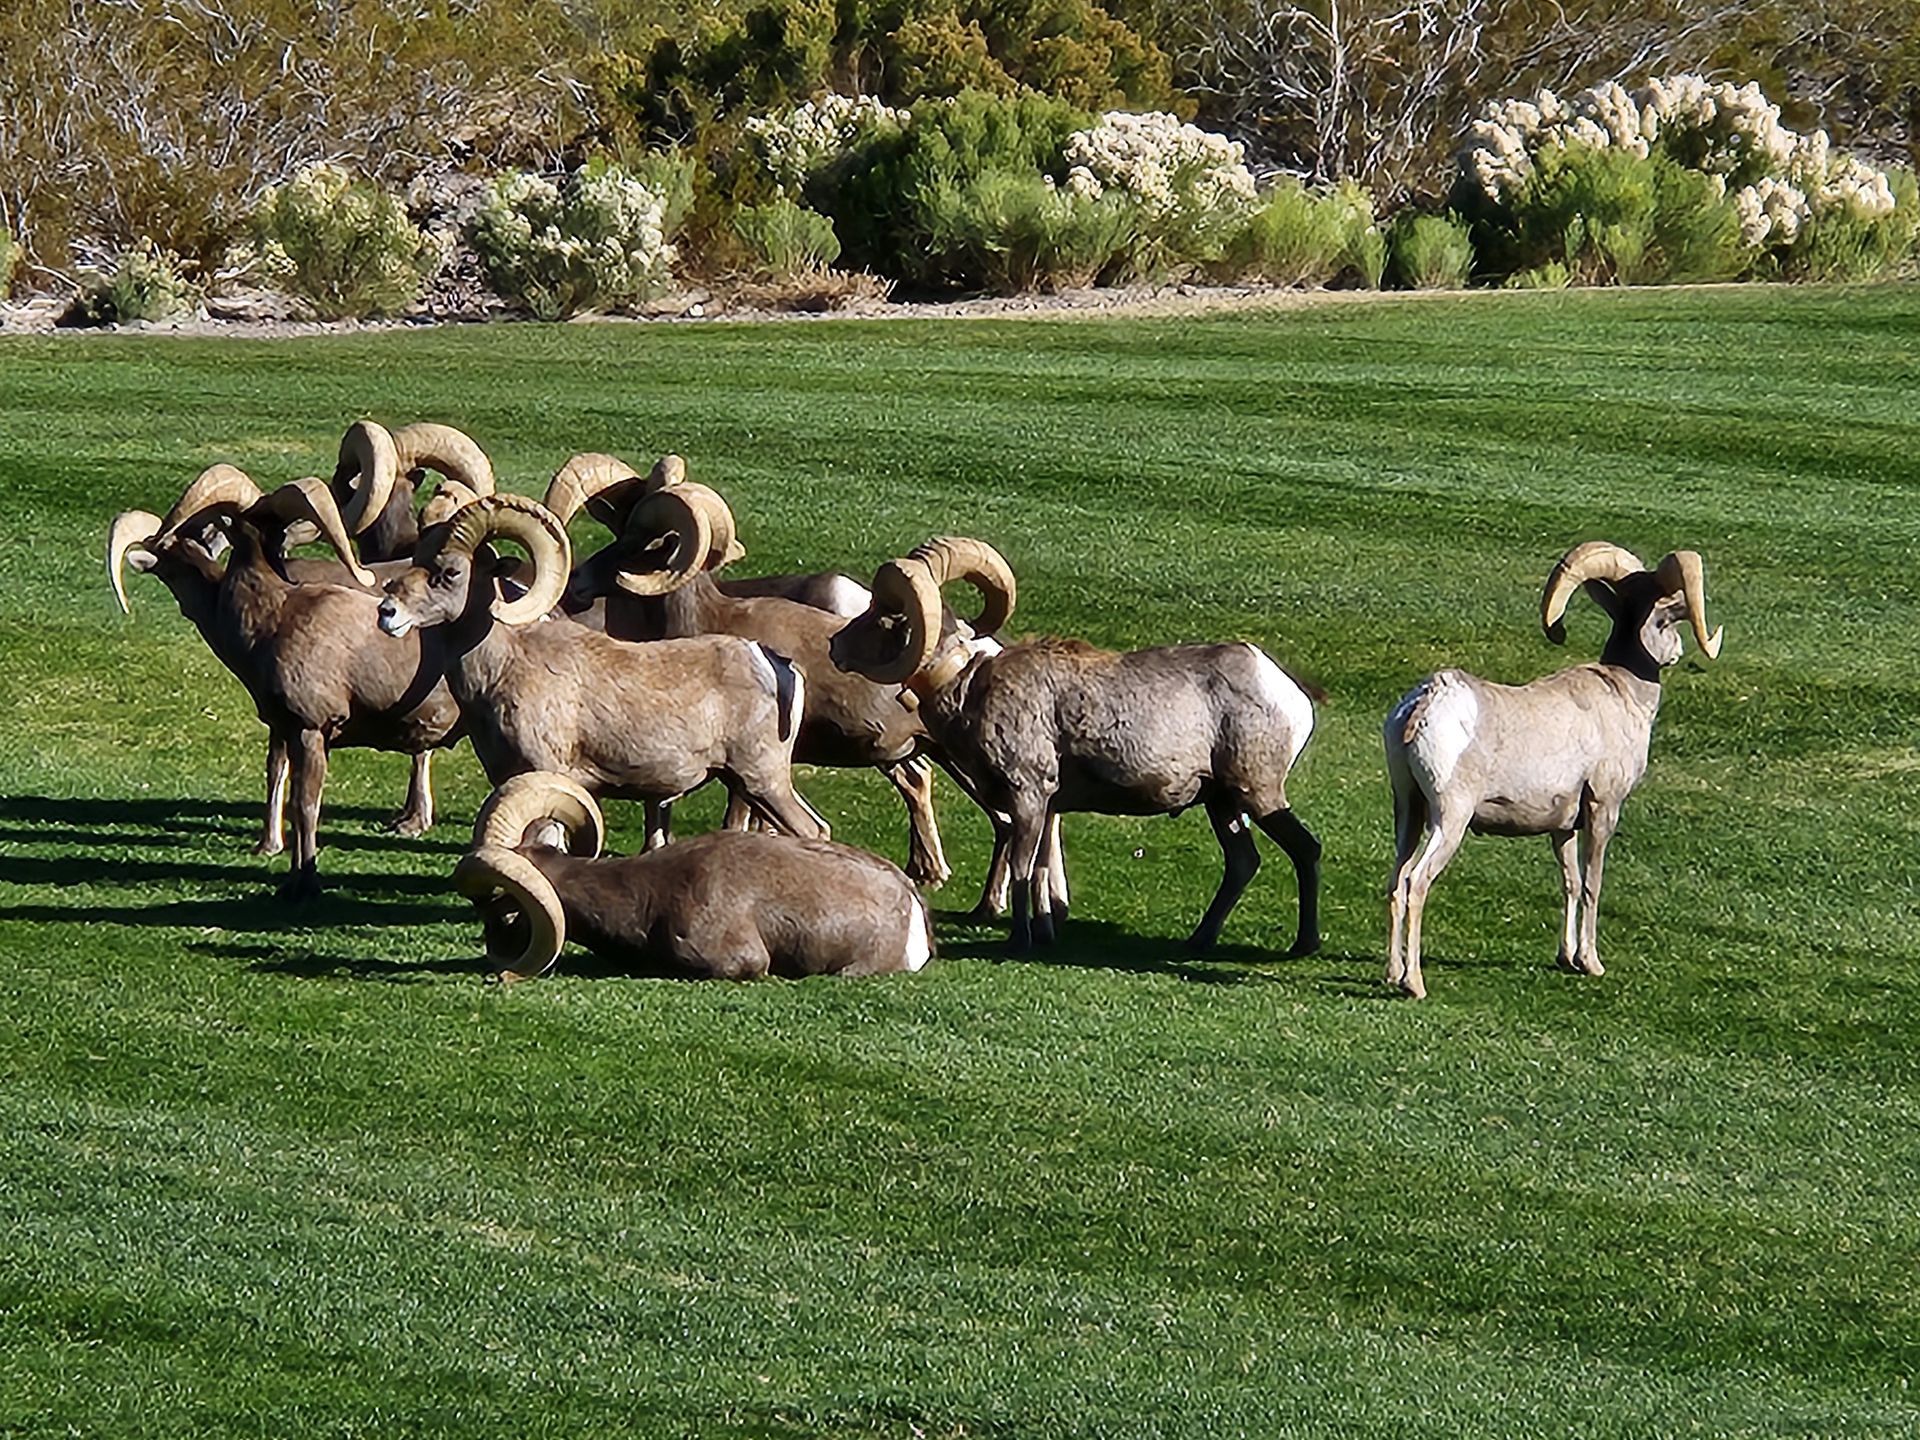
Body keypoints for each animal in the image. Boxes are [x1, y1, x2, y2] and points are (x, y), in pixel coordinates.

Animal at [106, 466, 464, 896]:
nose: (158, 543)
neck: (273, 617)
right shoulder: (287, 730)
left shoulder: (310, 731)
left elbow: (305, 807)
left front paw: (304, 883)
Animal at [375, 493, 827, 844]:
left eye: (449, 572)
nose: (387, 612)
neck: (505, 667)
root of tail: (777, 667)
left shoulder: (545, 774)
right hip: (751, 784)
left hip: (762, 780)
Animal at [830, 536, 1322, 954]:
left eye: (882, 613)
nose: (836, 645)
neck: (969, 685)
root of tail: (1290, 695)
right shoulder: (1048, 806)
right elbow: (1043, 871)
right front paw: (1045, 935)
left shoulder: (1028, 796)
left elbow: (1023, 868)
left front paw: (1020, 942)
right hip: (1222, 803)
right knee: (1242, 863)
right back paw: (1199, 941)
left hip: (1257, 794)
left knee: (1305, 850)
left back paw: (1303, 945)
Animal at [1383, 541, 1723, 999]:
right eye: (1666, 615)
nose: (1677, 653)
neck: (1623, 695)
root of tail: (1423, 704)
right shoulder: (1602, 809)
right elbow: (1593, 884)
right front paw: (1591, 963)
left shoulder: (1562, 826)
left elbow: (1571, 882)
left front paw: (1567, 957)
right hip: (1449, 819)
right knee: (1416, 884)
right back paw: (1414, 983)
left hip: (1409, 811)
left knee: (1396, 881)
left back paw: (1391, 972)